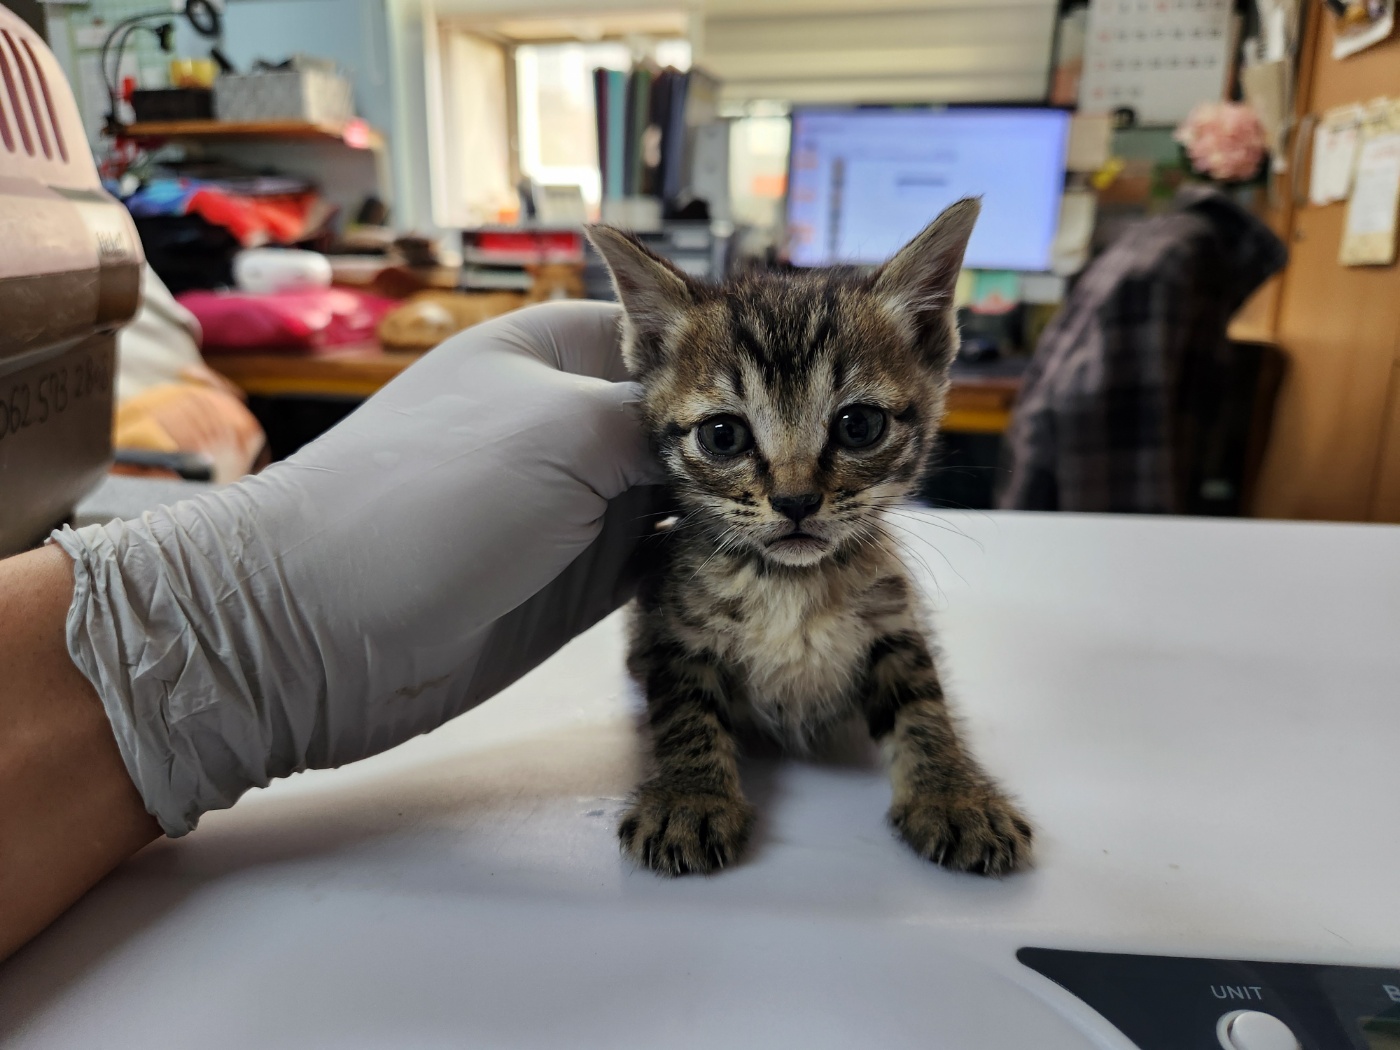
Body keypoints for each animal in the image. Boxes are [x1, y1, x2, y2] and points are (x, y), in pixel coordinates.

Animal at [585, 201, 1036, 884]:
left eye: (859, 425)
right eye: (723, 435)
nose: (796, 501)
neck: (789, 583)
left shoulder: (894, 619)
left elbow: (924, 704)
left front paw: (955, 794)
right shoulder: (671, 628)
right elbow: (686, 711)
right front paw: (690, 797)